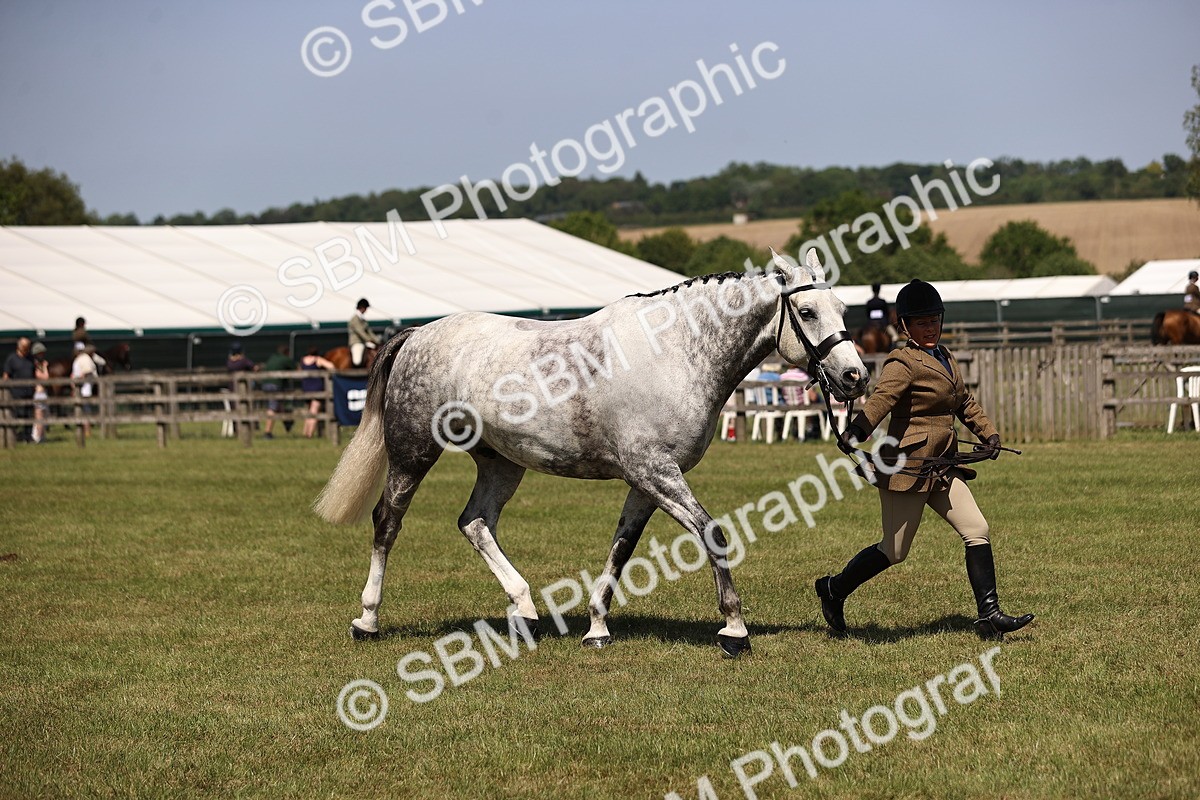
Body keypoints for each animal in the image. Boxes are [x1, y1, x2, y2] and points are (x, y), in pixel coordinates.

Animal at [313, 249, 868, 657]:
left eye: (843, 311)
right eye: (807, 312)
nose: (854, 377)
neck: (675, 352)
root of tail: (416, 334)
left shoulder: (647, 481)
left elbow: (621, 549)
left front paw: (597, 627)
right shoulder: (657, 473)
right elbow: (712, 533)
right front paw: (734, 629)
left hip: (501, 463)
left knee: (475, 522)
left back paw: (525, 612)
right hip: (412, 452)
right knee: (387, 523)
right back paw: (368, 620)